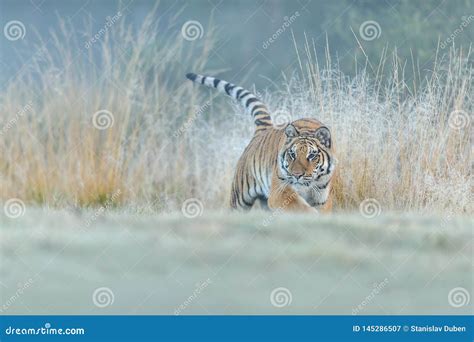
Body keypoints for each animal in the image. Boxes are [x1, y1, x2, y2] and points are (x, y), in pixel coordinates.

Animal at [185, 72, 336, 212]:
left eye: (312, 156)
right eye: (292, 154)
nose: (297, 175)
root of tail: (264, 128)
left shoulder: (322, 197)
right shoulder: (280, 191)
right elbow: (301, 208)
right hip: (240, 198)